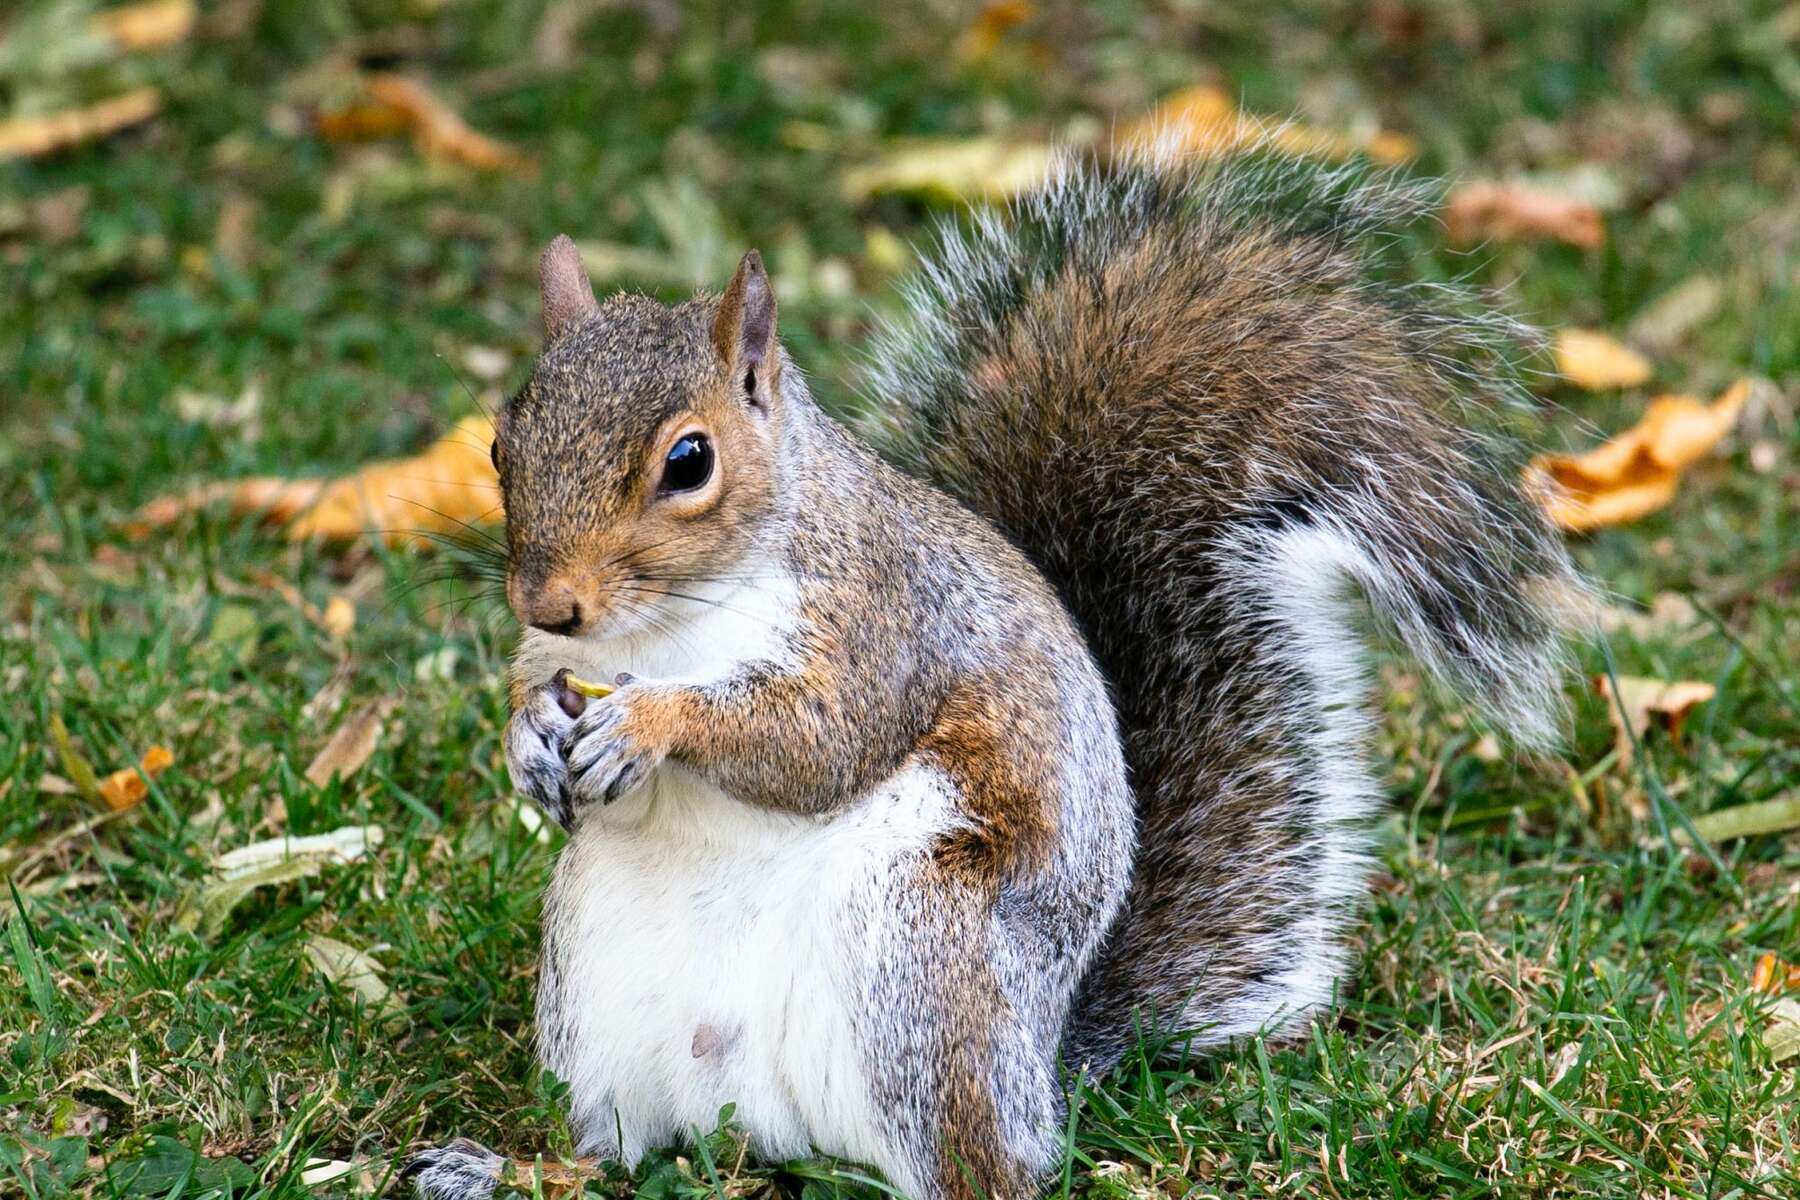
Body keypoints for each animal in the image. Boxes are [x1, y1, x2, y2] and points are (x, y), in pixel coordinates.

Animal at [407, 147, 1578, 1200]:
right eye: (503, 446)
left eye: (688, 462)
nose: (547, 602)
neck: (664, 627)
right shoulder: (567, 658)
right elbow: (541, 694)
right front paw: (526, 741)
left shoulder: (884, 623)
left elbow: (818, 743)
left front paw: (650, 725)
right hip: (597, 990)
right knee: (620, 1148)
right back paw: (502, 1168)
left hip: (925, 960)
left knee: (980, 1170)